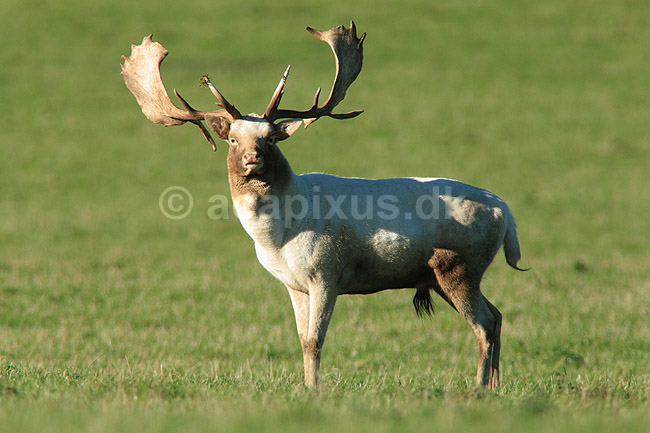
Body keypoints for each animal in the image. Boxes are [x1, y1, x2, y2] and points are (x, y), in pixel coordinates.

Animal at [121, 22, 526, 389]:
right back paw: (495, 385)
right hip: (450, 274)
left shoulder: (326, 272)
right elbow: (302, 340)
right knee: (497, 315)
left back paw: (479, 387)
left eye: (271, 138)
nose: (252, 157)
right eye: (233, 139)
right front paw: (306, 386)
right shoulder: (294, 284)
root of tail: (505, 211)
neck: (279, 237)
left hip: (459, 266)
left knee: (483, 324)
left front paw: (315, 390)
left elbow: (316, 340)